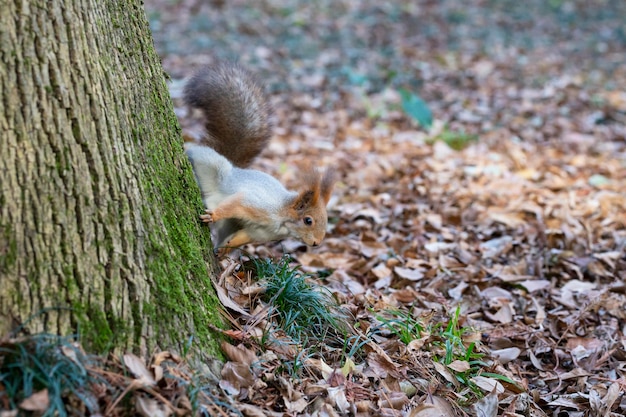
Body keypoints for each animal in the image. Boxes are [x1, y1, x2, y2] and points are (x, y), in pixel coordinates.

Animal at [183, 61, 334, 250]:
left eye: (326, 220)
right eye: (308, 220)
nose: (316, 243)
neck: (283, 219)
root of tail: (235, 167)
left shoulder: (260, 233)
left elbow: (243, 236)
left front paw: (227, 248)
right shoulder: (256, 203)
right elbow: (234, 205)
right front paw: (214, 215)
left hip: (229, 222)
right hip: (214, 164)